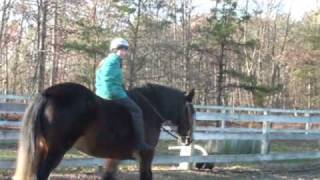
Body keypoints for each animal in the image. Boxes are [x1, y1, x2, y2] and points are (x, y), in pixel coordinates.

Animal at [13, 82, 195, 180]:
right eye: (192, 111)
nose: (188, 140)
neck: (150, 108)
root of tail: (48, 93)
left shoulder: (114, 157)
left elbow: (108, 175)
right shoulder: (146, 156)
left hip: (42, 148)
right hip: (56, 150)